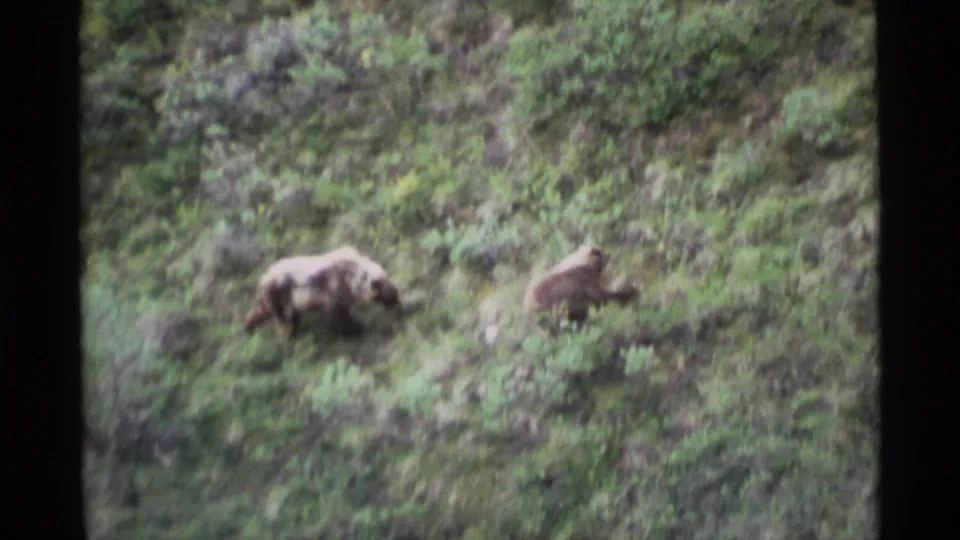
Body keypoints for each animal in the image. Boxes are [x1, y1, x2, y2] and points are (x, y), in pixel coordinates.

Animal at [242, 246, 402, 341]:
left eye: (387, 278)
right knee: (285, 319)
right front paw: (357, 328)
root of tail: (264, 278)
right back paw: (288, 337)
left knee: (263, 311)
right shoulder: (333, 290)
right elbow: (339, 315)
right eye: (380, 286)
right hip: (281, 294)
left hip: (278, 298)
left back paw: (249, 327)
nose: (395, 295)